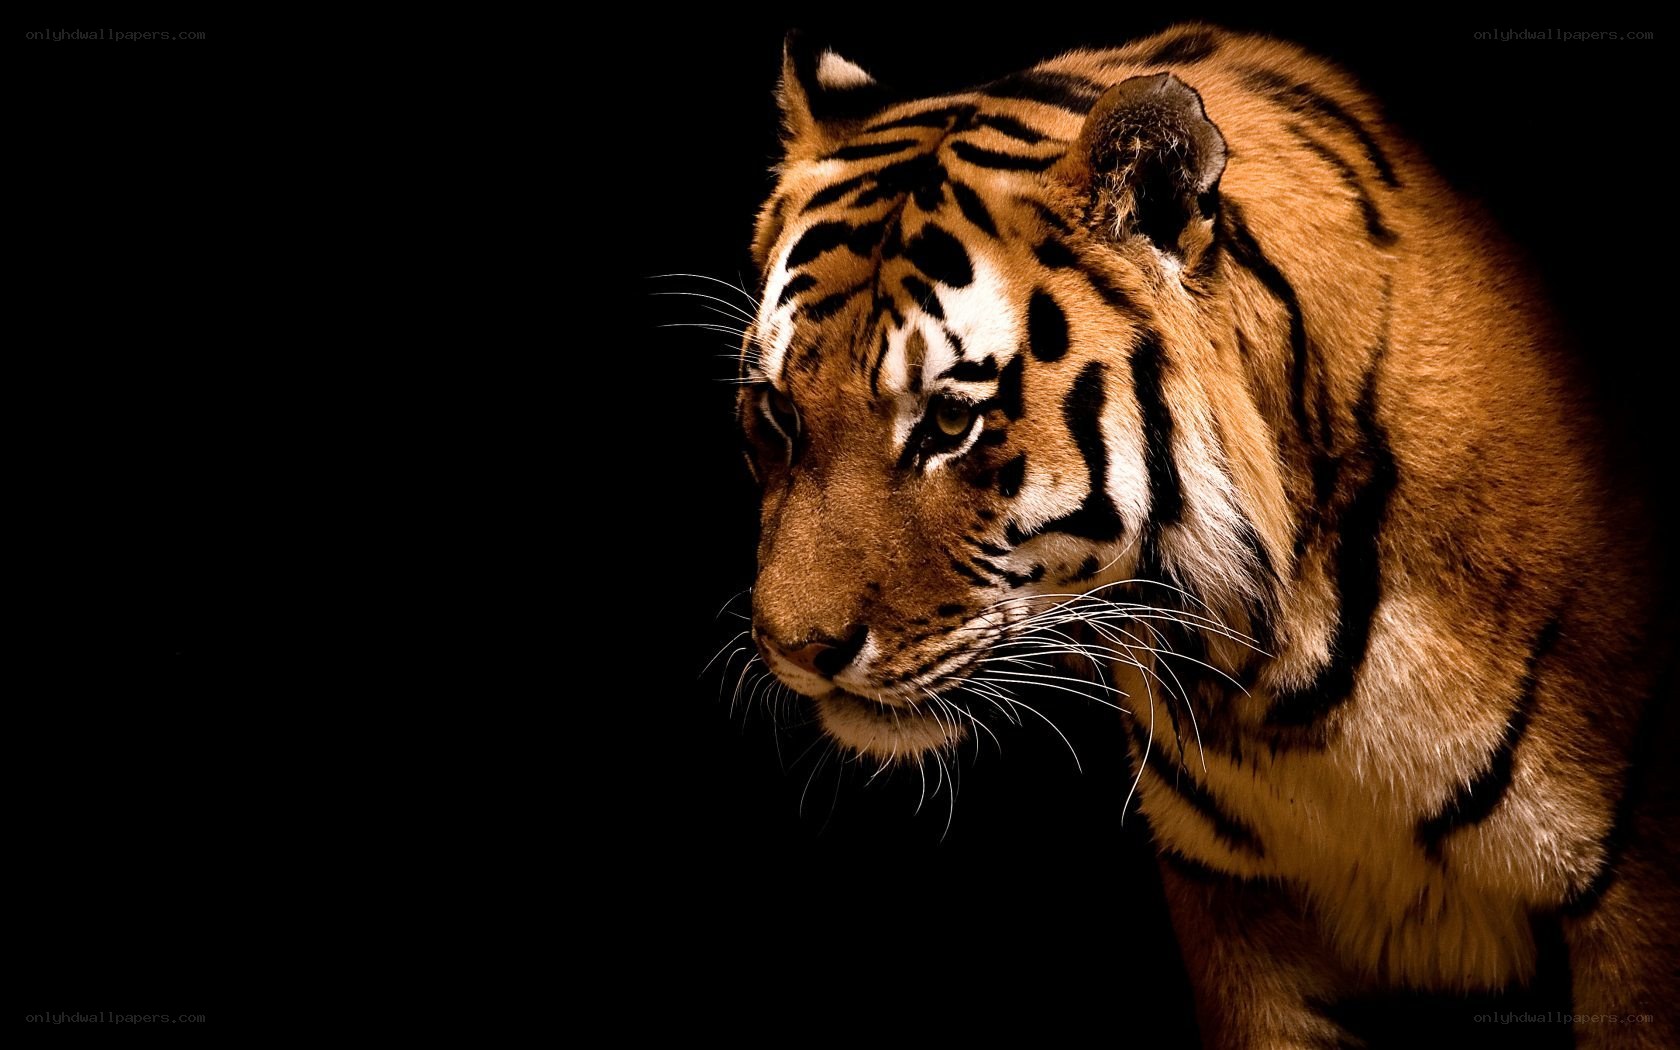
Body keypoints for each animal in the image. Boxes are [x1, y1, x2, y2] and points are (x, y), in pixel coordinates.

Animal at [728, 24, 1676, 1048]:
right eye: (778, 414)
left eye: (949, 422)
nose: (797, 651)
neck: (1276, 685)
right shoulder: (1235, 904)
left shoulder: (1634, 901)